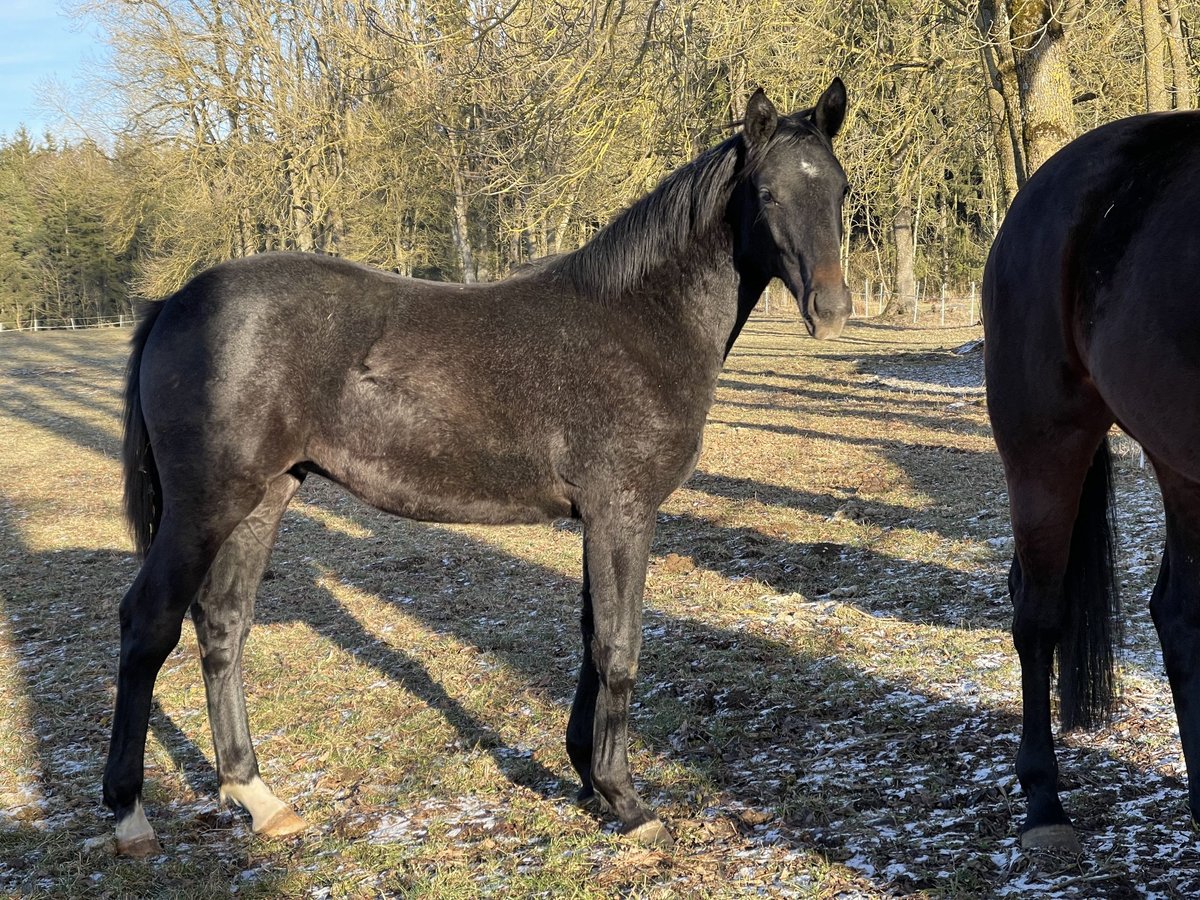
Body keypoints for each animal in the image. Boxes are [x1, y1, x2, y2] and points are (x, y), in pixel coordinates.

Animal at [105, 84, 854, 859]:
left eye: (841, 190)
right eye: (766, 194)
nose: (831, 309)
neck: (637, 323)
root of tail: (173, 303)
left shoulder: (599, 517)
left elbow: (591, 638)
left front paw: (587, 776)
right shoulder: (623, 511)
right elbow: (618, 648)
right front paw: (626, 801)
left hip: (264, 496)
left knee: (223, 624)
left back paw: (257, 796)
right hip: (205, 504)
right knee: (149, 624)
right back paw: (130, 815)